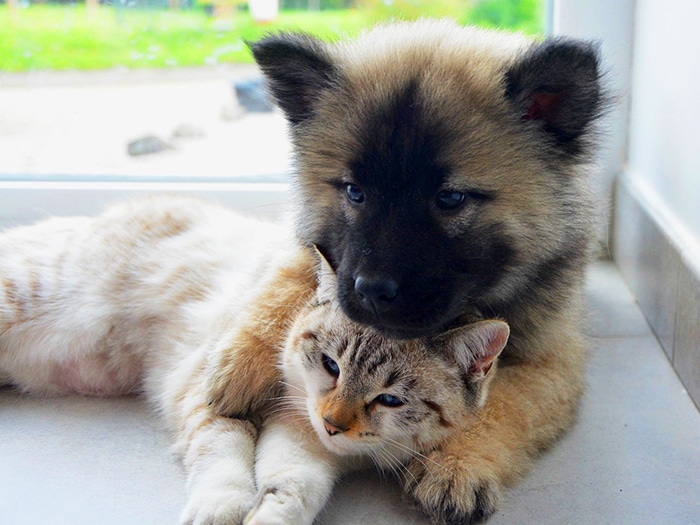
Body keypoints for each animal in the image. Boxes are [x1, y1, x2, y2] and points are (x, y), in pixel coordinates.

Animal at [0, 195, 508, 524]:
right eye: (331, 366)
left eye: (390, 400)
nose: (332, 424)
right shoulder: (212, 397)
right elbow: (226, 453)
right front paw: (220, 511)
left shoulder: (307, 444)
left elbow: (292, 488)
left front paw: (268, 515)